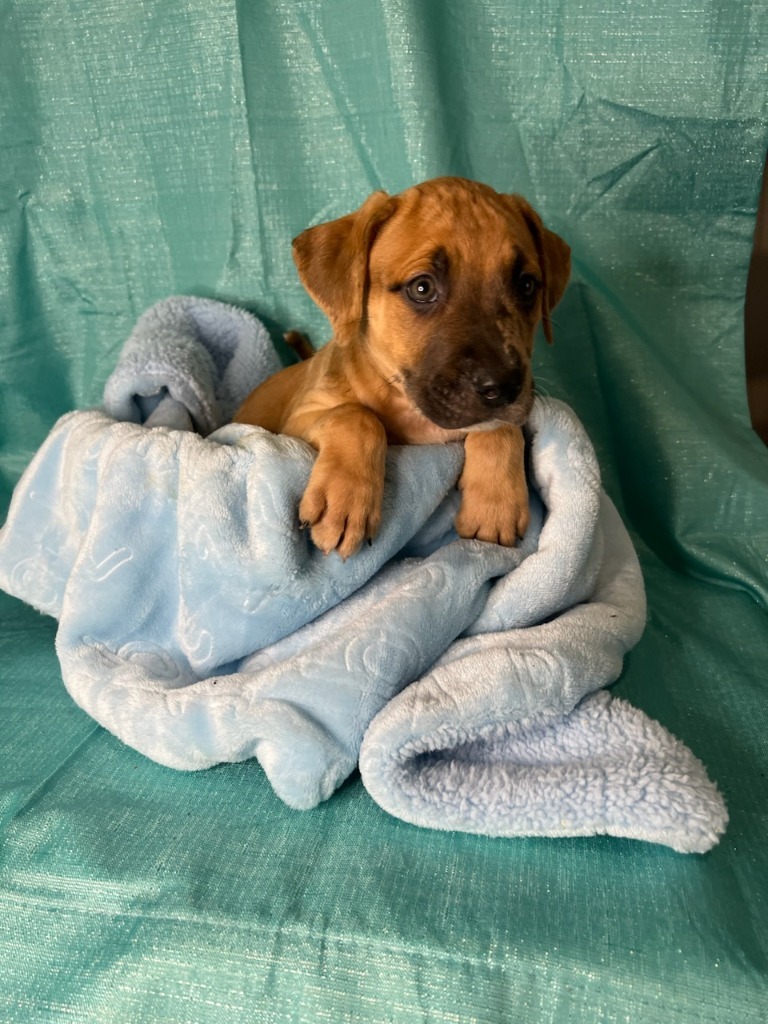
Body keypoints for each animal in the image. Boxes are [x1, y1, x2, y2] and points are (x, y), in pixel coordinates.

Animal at [234, 176, 573, 561]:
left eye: (526, 285)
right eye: (422, 288)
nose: (503, 388)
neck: (411, 411)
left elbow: (500, 427)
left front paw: (495, 502)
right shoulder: (293, 425)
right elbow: (357, 416)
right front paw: (344, 500)